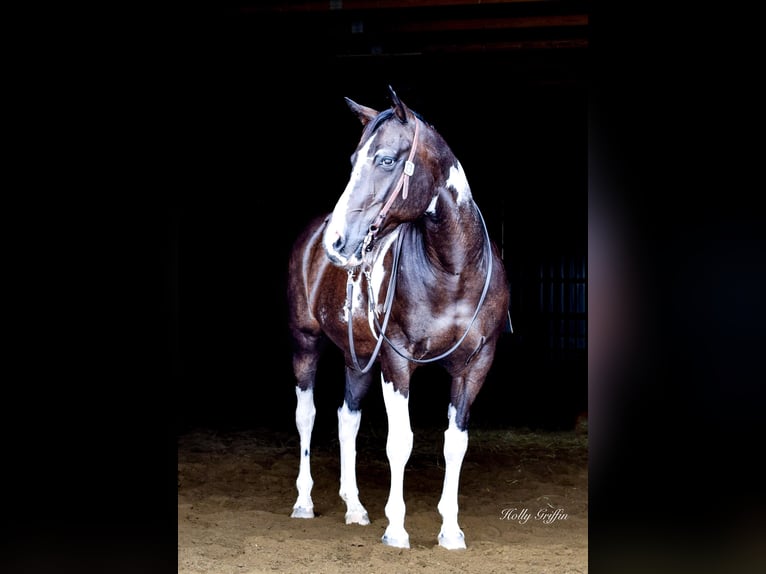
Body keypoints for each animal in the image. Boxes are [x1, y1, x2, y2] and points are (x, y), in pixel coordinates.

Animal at [286, 86, 510, 552]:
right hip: (305, 342)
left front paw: (451, 531)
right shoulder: (397, 361)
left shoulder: (475, 364)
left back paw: (354, 508)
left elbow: (455, 443)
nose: (337, 241)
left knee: (346, 419)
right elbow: (400, 442)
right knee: (307, 415)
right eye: (353, 159)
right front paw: (396, 528)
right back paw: (304, 501)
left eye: (387, 160)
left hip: (357, 357)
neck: (453, 271)